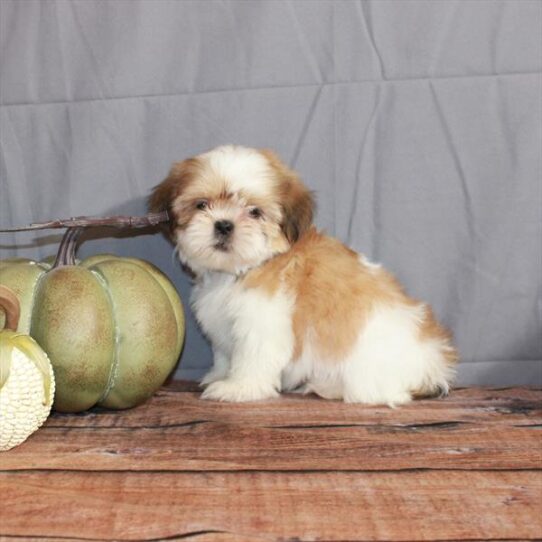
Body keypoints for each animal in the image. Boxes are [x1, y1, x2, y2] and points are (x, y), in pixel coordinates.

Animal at [150, 146, 460, 408]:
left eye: (255, 212)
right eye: (201, 205)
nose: (224, 225)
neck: (246, 267)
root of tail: (434, 364)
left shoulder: (263, 320)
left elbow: (252, 356)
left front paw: (238, 387)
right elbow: (226, 353)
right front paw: (220, 375)